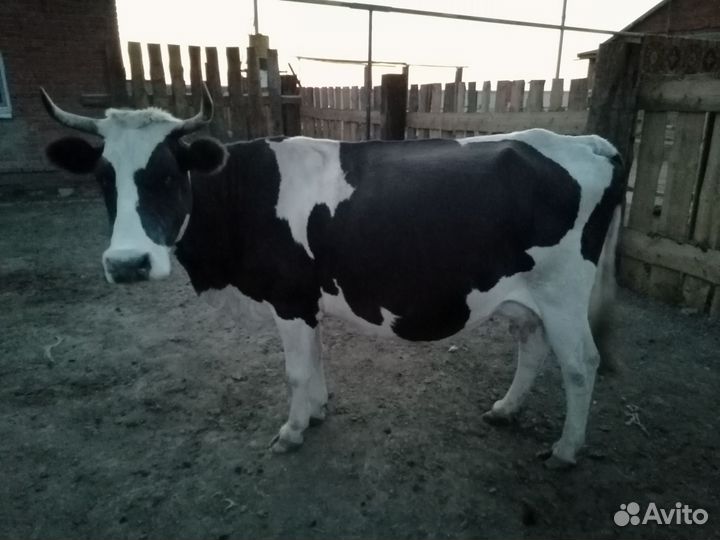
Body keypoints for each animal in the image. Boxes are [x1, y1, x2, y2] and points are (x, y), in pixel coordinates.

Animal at [40, 84, 623, 468]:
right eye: (104, 178)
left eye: (167, 174)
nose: (127, 264)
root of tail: (586, 141)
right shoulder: (304, 299)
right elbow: (315, 361)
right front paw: (317, 413)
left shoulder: (288, 297)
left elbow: (296, 372)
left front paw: (293, 430)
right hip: (527, 295)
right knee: (533, 345)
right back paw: (505, 409)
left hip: (564, 292)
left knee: (581, 364)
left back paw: (566, 449)